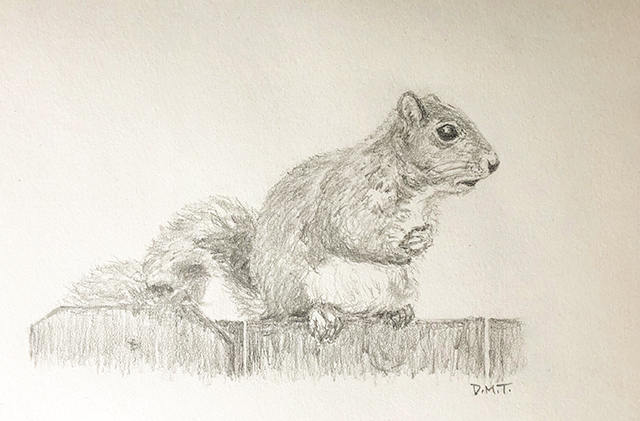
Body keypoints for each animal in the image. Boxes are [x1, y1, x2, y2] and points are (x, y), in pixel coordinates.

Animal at [66, 91, 499, 342]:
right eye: (447, 132)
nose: (494, 162)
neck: (415, 191)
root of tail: (267, 300)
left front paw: (423, 238)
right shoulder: (345, 201)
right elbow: (353, 236)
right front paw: (399, 245)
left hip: (394, 285)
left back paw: (395, 311)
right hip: (296, 283)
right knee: (296, 311)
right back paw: (322, 313)